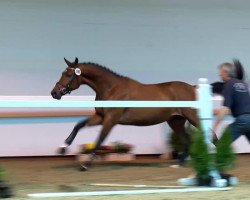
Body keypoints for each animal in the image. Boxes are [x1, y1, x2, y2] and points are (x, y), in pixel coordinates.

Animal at [51, 57, 197, 170]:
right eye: (63, 73)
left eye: (68, 75)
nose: (54, 93)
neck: (111, 89)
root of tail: (192, 88)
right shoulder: (100, 117)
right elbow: (78, 125)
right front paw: (63, 148)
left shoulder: (111, 120)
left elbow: (100, 139)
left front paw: (85, 165)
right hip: (175, 121)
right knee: (186, 139)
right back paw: (180, 164)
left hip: (192, 118)